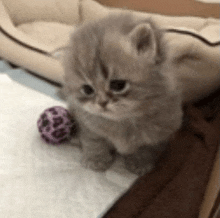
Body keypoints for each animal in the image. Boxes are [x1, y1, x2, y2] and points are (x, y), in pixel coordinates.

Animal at [61, 11, 182, 175]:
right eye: (87, 90)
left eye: (118, 85)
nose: (102, 102)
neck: (124, 120)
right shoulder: (88, 124)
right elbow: (94, 141)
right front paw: (96, 159)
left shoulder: (161, 133)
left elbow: (147, 149)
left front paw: (140, 162)